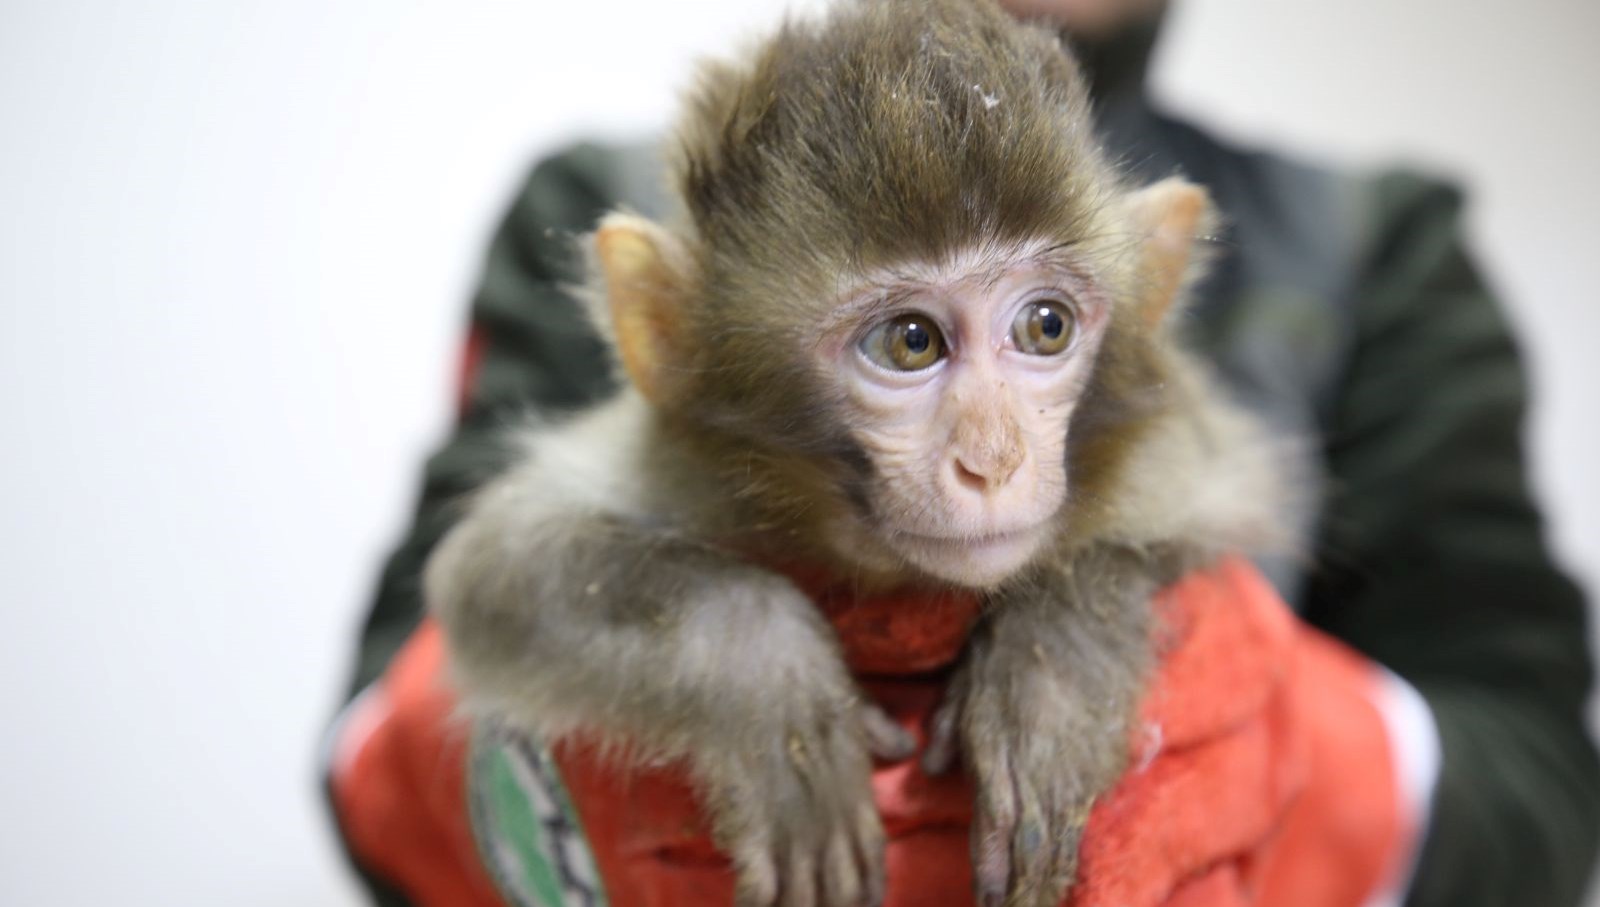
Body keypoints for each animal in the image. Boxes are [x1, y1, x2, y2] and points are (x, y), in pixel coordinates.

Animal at [419, 1, 1280, 907]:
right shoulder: (675, 468)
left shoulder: (1173, 461)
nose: (993, 459)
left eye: (1046, 326)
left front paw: (1050, 674)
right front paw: (774, 690)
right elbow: (499, 569)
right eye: (911, 341)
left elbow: (1214, 500)